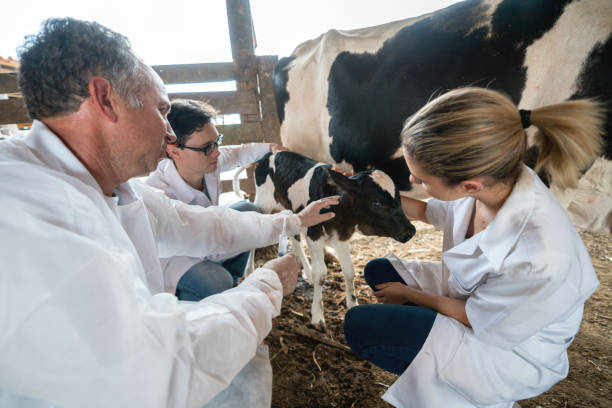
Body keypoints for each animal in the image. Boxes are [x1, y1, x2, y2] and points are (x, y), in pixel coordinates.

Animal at [244, 151, 416, 330]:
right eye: (376, 203)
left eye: (400, 199)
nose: (410, 231)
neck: (340, 211)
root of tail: (271, 153)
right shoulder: (314, 233)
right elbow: (321, 273)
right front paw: (318, 317)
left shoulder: (341, 236)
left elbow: (349, 270)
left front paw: (352, 304)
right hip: (263, 203)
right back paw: (249, 271)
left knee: (295, 239)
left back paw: (307, 272)